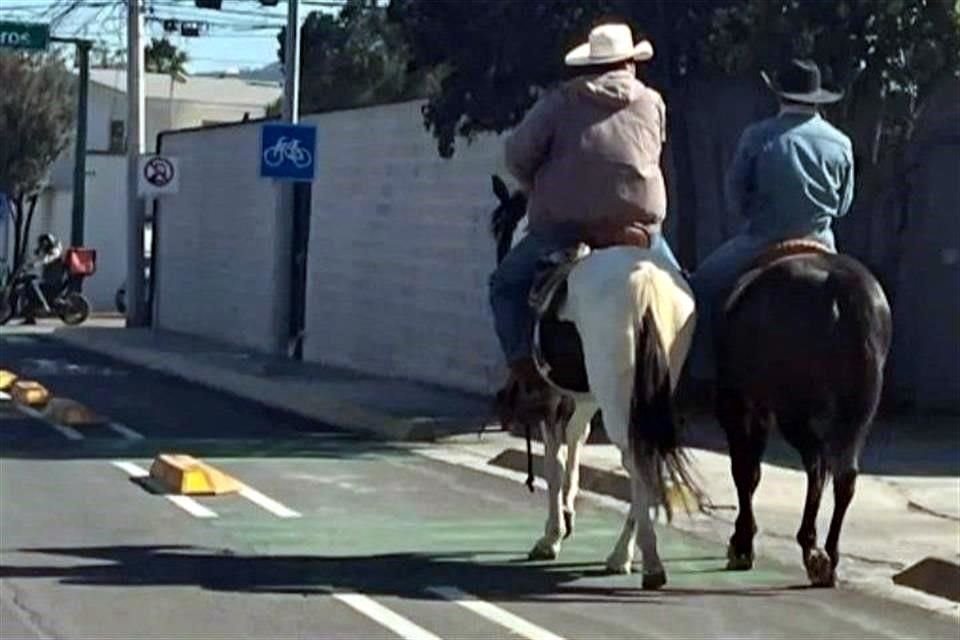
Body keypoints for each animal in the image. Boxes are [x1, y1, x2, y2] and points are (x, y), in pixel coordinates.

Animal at [716, 248, 888, 588]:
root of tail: (844, 288)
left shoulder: (742, 405)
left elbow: (745, 471)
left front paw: (742, 544)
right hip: (857, 412)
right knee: (843, 475)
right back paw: (829, 557)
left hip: (791, 409)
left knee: (817, 464)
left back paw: (811, 548)